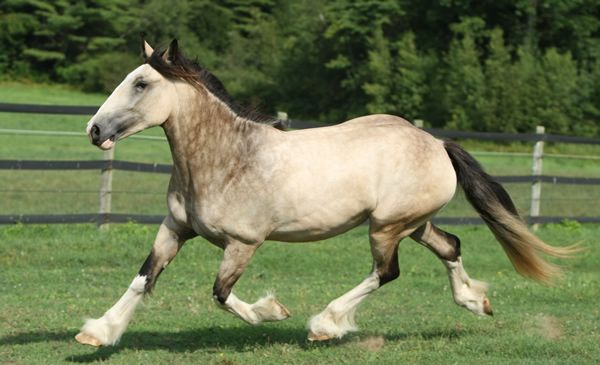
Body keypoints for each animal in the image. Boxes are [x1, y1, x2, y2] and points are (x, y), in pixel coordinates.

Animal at [75, 38, 576, 346]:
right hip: (413, 223)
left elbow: (221, 294)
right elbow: (143, 278)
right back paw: (474, 301)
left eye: (141, 83)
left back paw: (325, 324)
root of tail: (436, 143)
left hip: (386, 227)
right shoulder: (175, 229)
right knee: (449, 246)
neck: (228, 159)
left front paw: (273, 312)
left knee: (386, 272)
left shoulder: (243, 244)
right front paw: (99, 331)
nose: (94, 129)